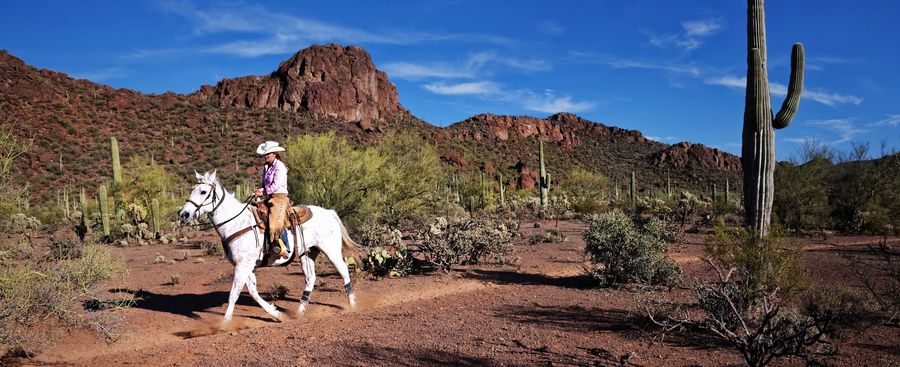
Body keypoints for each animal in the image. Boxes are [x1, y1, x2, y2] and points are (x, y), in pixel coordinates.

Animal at [178, 171, 360, 324]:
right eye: (192, 190)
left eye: (203, 192)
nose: (183, 214)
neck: (236, 223)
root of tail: (329, 212)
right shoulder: (246, 266)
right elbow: (253, 292)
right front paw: (277, 314)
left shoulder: (243, 265)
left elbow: (234, 294)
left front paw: (224, 324)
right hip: (307, 253)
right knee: (310, 279)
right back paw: (299, 312)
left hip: (331, 250)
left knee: (343, 270)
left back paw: (352, 305)